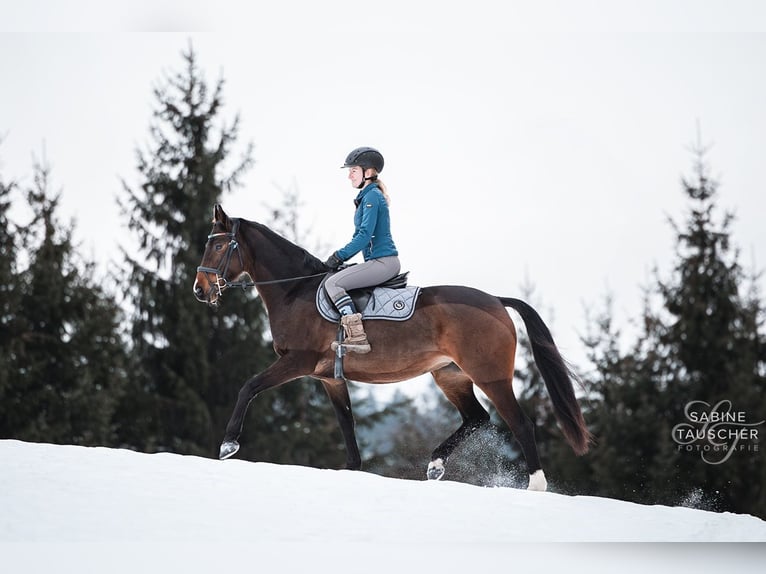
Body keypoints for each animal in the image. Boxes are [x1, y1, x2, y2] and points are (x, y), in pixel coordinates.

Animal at [195, 205, 592, 492]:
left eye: (218, 245)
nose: (200, 290)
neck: (296, 291)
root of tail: (496, 300)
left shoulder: (298, 362)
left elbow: (248, 387)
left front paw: (228, 445)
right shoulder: (329, 377)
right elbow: (347, 422)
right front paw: (352, 469)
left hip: (490, 376)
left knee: (520, 423)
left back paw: (534, 486)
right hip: (450, 375)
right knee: (477, 418)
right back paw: (435, 465)